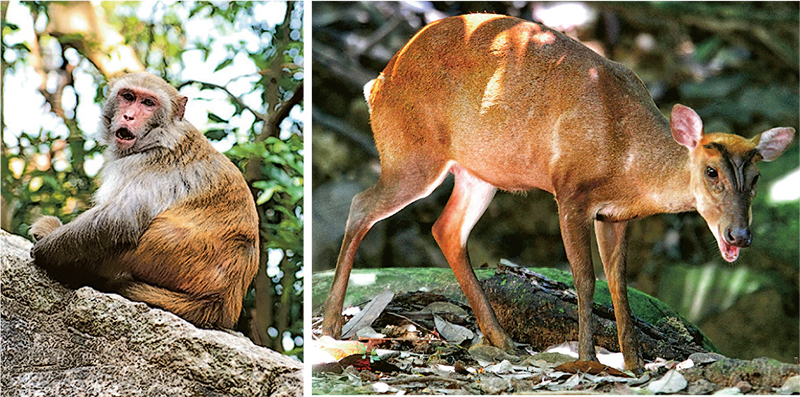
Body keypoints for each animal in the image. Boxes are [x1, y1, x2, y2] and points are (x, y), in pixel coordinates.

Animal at [318, 13, 792, 372]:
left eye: (756, 179)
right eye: (711, 172)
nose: (739, 235)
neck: (626, 160)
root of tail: (377, 82)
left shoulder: (615, 216)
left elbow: (619, 283)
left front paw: (634, 363)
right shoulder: (570, 192)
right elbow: (585, 279)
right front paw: (588, 360)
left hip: (478, 170)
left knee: (446, 229)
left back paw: (502, 339)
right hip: (411, 153)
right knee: (362, 205)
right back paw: (330, 327)